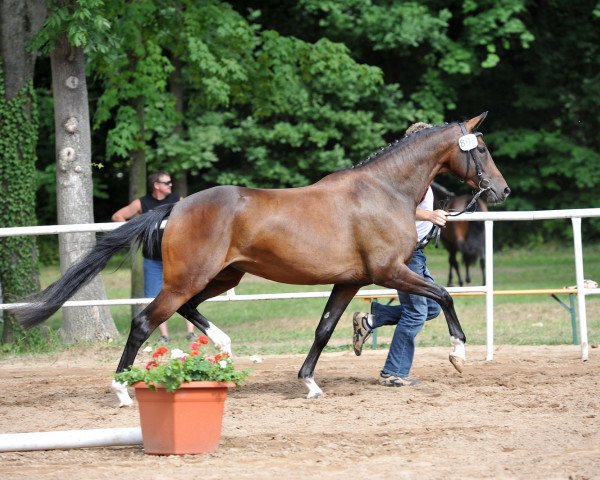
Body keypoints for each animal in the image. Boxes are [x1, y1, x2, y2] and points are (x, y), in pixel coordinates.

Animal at [14, 113, 508, 404]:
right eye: (481, 148)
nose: (501, 191)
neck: (384, 191)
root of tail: (175, 206)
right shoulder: (391, 271)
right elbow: (443, 294)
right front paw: (458, 353)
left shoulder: (350, 280)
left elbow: (324, 328)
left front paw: (309, 382)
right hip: (187, 278)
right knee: (143, 322)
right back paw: (122, 389)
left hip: (222, 277)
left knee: (190, 310)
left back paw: (223, 350)